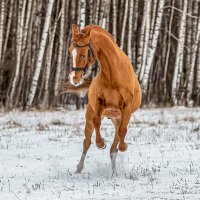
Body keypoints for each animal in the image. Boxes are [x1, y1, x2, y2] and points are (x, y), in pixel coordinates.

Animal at [69, 23, 142, 175]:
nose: (74, 79)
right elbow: (97, 121)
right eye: (69, 51)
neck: (113, 73)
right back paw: (79, 168)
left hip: (118, 118)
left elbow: (122, 131)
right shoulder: (99, 104)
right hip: (92, 116)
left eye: (83, 54)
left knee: (115, 143)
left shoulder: (126, 108)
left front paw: (124, 146)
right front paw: (101, 143)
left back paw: (114, 171)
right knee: (86, 142)